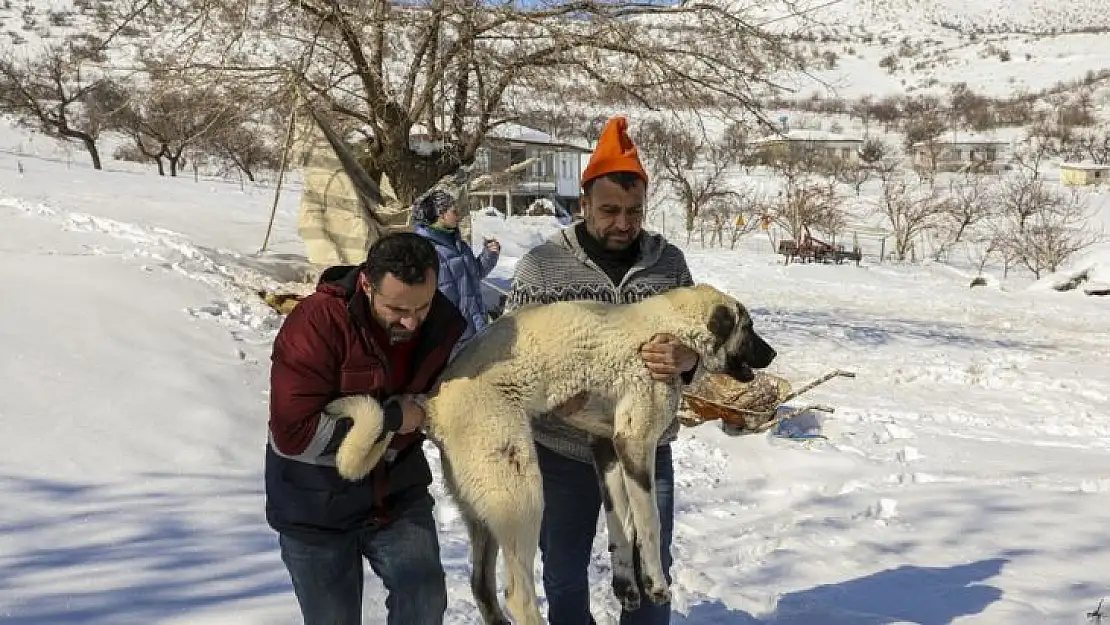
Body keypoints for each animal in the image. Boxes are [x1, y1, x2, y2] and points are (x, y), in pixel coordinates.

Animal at [324, 284, 772, 625]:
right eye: (748, 327)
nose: (772, 355)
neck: (668, 328)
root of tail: (433, 404)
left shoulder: (606, 448)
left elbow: (621, 525)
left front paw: (627, 588)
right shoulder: (634, 444)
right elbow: (649, 524)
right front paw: (656, 585)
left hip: (483, 512)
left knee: (482, 587)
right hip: (520, 497)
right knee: (517, 593)